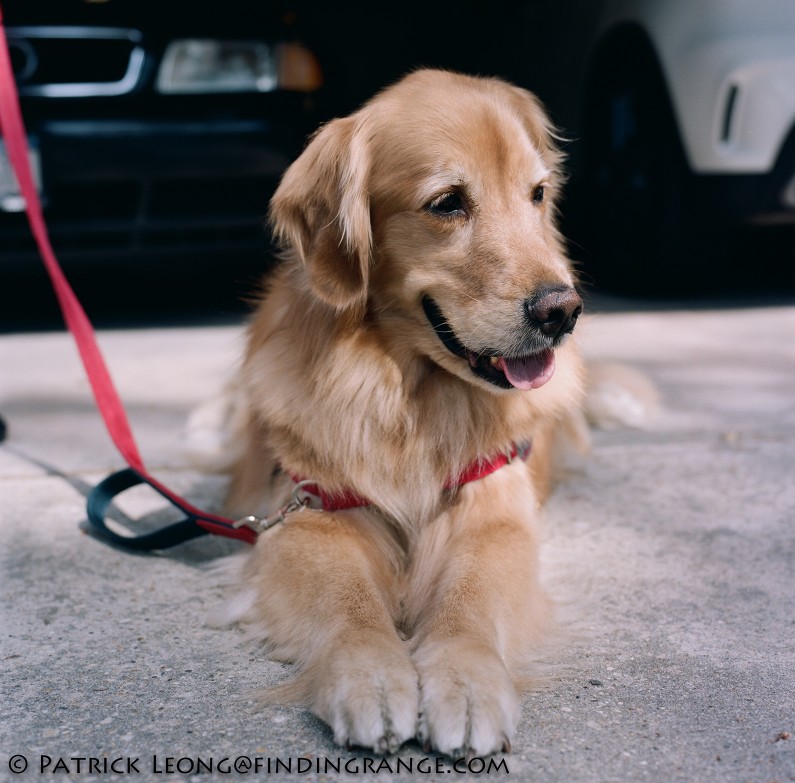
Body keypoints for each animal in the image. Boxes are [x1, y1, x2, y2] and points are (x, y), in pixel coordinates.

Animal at [221, 69, 588, 760]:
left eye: (536, 194)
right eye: (447, 202)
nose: (562, 311)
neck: (410, 396)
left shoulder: (493, 512)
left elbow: (470, 599)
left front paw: (466, 682)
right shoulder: (312, 513)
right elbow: (348, 604)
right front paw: (371, 677)